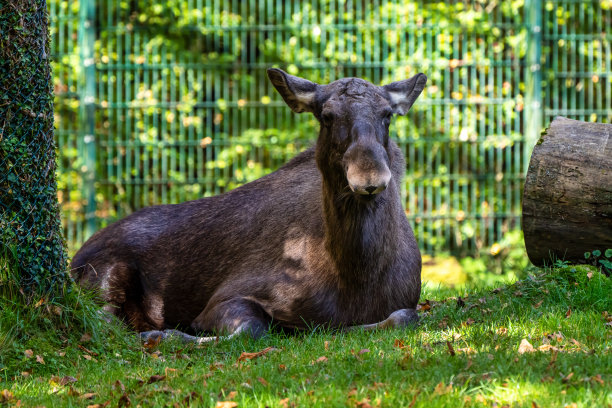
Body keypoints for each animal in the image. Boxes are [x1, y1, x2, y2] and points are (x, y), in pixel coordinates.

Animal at [71, 68, 426, 342]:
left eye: (387, 115)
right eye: (326, 116)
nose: (370, 176)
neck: (357, 275)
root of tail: (76, 255)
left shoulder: (402, 304)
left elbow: (404, 317)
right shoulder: (225, 298)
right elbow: (251, 330)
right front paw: (162, 335)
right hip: (104, 274)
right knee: (100, 319)